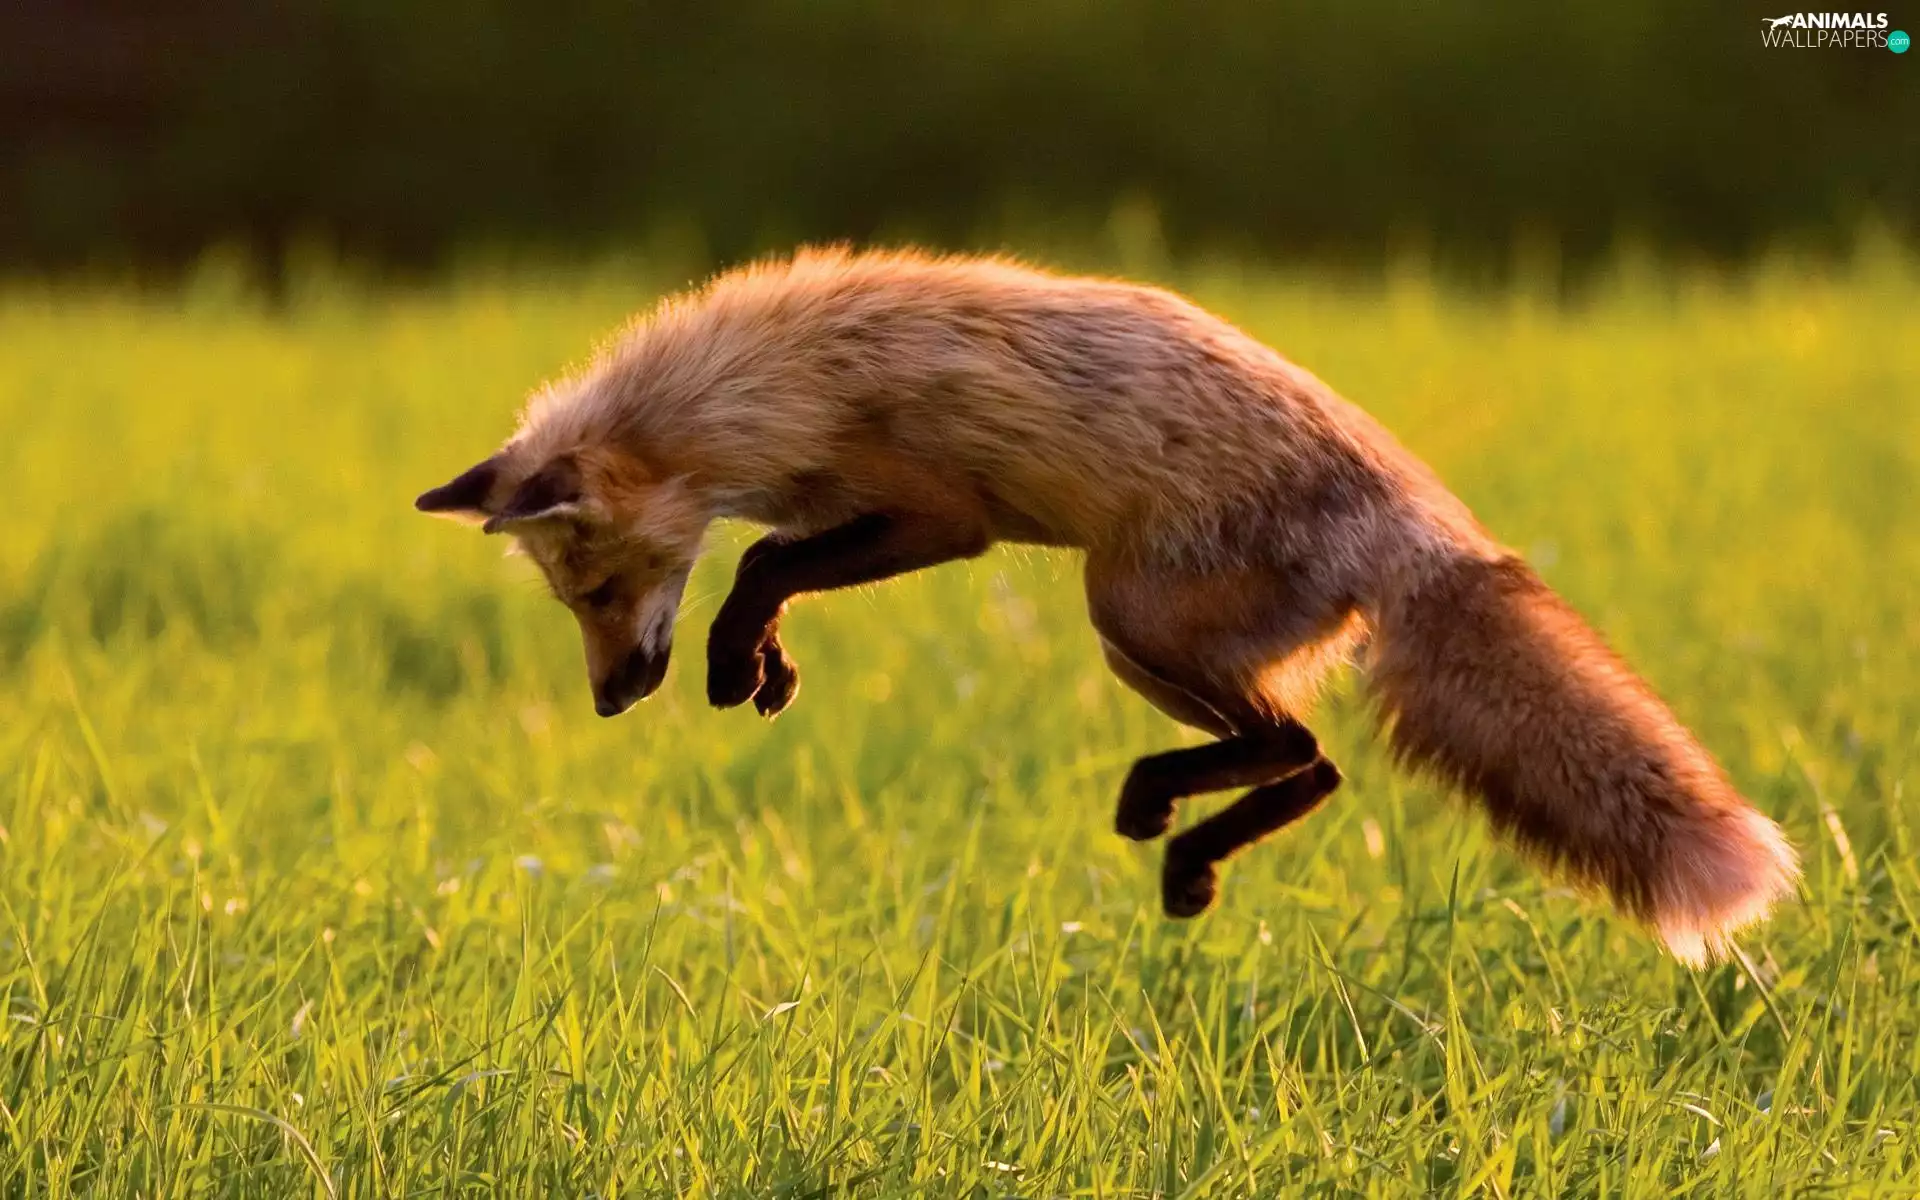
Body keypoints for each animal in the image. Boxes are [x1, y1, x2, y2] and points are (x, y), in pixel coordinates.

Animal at [416, 247, 1798, 965]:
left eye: (599, 590)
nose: (612, 700)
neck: (768, 387)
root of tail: (1425, 521)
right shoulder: (865, 514)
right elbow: (766, 565)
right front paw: (764, 668)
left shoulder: (939, 513)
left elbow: (758, 564)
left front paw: (737, 657)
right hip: (1142, 641)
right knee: (1314, 763)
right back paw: (1185, 849)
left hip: (1125, 611)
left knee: (1303, 751)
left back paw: (1170, 829)